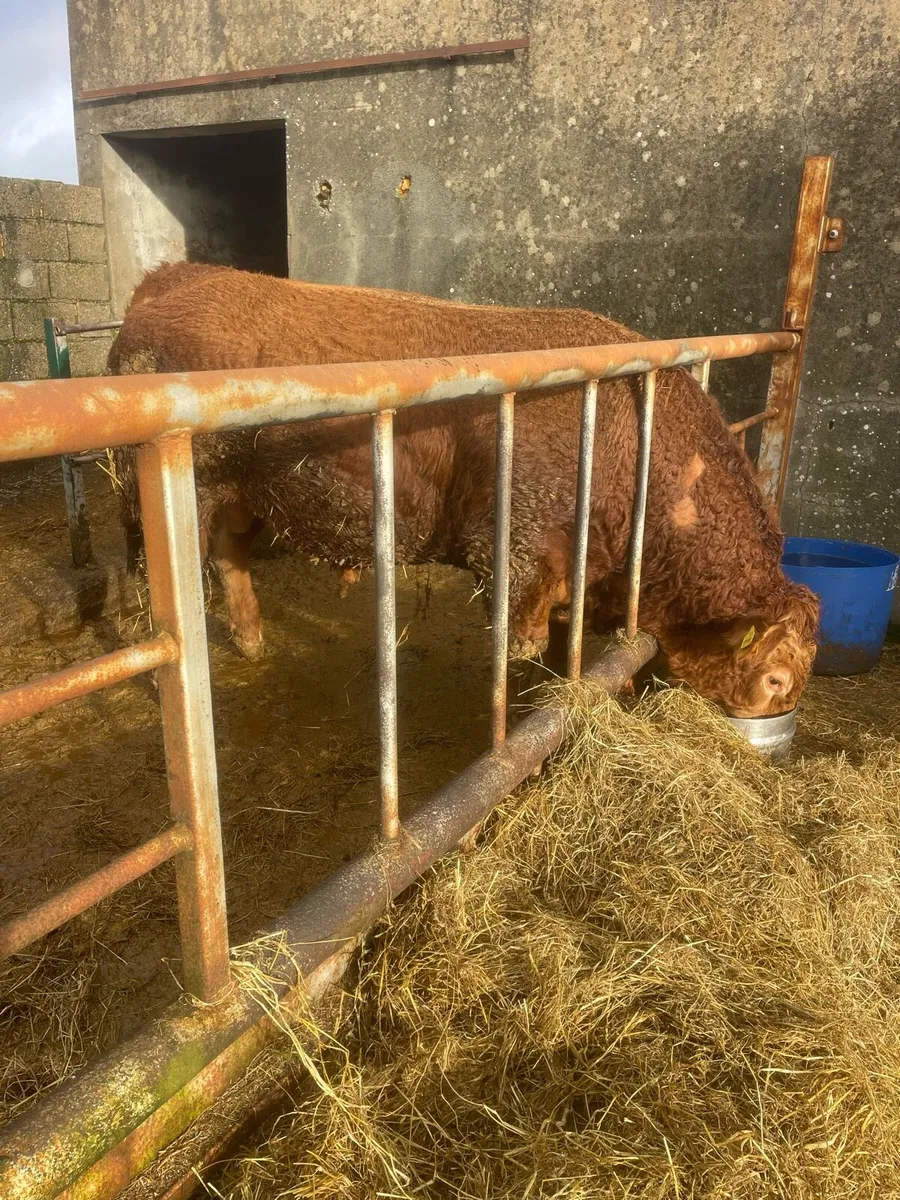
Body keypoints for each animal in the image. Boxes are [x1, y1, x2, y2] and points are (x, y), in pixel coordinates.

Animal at [106, 263, 818, 720]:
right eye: (775, 675)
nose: (778, 711)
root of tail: (172, 277)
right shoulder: (517, 555)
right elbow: (522, 649)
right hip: (162, 497)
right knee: (150, 579)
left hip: (245, 491)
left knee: (229, 553)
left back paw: (253, 640)